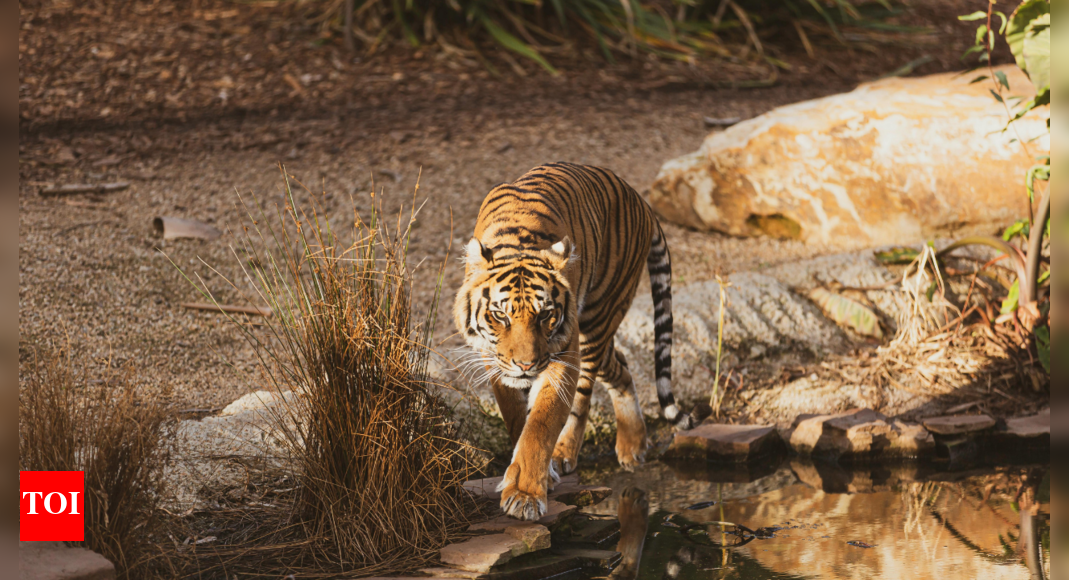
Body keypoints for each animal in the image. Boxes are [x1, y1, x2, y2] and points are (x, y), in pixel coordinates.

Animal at [454, 162, 709, 521]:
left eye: (545, 315)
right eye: (500, 316)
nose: (526, 365)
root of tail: (640, 199)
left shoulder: (560, 357)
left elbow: (540, 426)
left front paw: (525, 495)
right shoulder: (495, 363)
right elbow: (518, 419)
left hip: (596, 320)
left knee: (587, 392)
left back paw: (578, 451)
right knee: (622, 366)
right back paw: (632, 445)